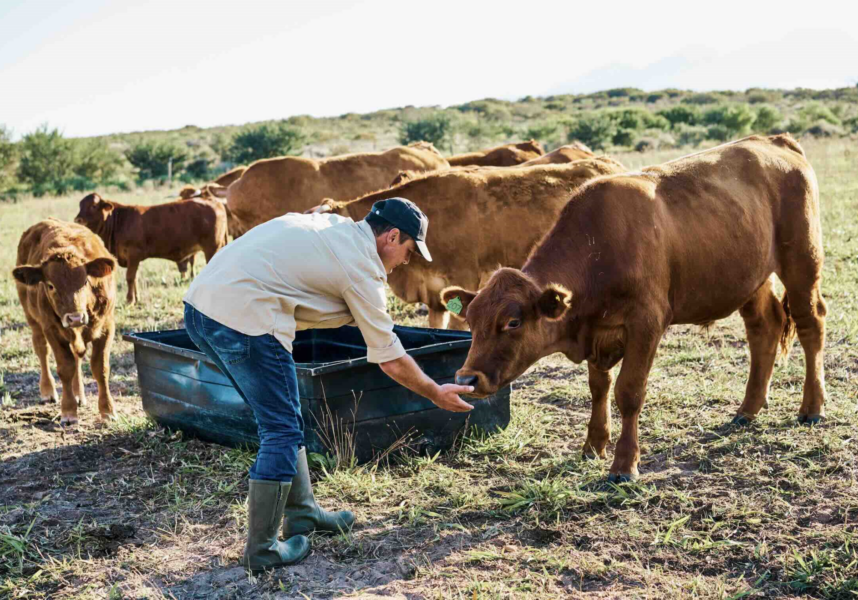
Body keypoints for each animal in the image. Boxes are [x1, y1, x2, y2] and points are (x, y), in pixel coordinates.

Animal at [12, 218, 117, 424]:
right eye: (51, 285)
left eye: (85, 281)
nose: (75, 317)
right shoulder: (52, 329)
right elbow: (65, 368)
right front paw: (68, 412)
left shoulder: (107, 326)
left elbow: (100, 368)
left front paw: (107, 410)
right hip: (33, 320)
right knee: (41, 350)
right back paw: (48, 390)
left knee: (77, 356)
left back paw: (79, 394)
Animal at [75, 193, 227, 302]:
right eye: (80, 205)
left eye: (93, 206)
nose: (78, 220)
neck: (119, 222)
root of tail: (214, 201)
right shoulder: (132, 259)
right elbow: (135, 278)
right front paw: (136, 298)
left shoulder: (133, 254)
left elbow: (130, 277)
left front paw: (129, 300)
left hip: (212, 248)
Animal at [442, 134, 824, 480]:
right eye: (471, 321)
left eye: (513, 322)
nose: (466, 378)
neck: (598, 249)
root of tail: (773, 140)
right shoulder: (598, 331)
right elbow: (599, 388)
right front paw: (593, 446)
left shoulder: (646, 324)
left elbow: (628, 392)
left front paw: (624, 465)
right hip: (752, 279)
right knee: (764, 328)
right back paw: (748, 409)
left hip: (802, 263)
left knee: (811, 325)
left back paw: (812, 407)